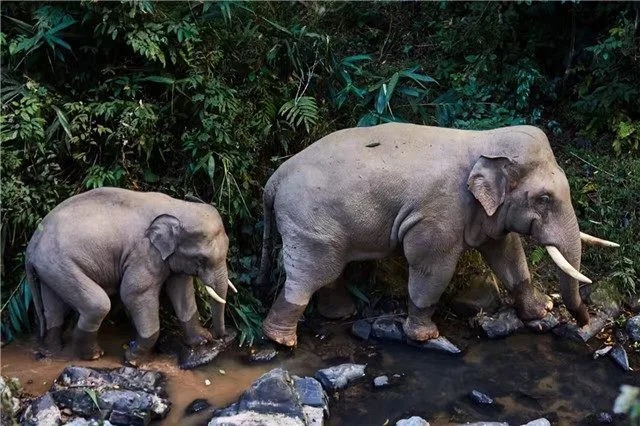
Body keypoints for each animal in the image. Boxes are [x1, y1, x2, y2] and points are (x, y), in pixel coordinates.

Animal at [25, 187, 236, 363]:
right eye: (201, 259)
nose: (222, 337)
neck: (177, 206)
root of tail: (32, 243)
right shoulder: (143, 254)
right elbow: (134, 294)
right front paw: (133, 360)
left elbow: (182, 292)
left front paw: (201, 341)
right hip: (59, 262)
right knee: (98, 305)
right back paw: (94, 355)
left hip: (49, 268)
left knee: (54, 309)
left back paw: (53, 351)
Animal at [258, 123, 619, 346]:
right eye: (544, 198)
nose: (584, 323)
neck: (483, 141)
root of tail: (273, 179)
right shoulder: (437, 213)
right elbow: (433, 265)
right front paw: (426, 336)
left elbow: (507, 253)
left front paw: (540, 313)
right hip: (307, 221)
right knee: (310, 274)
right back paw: (281, 340)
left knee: (329, 269)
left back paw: (339, 315)